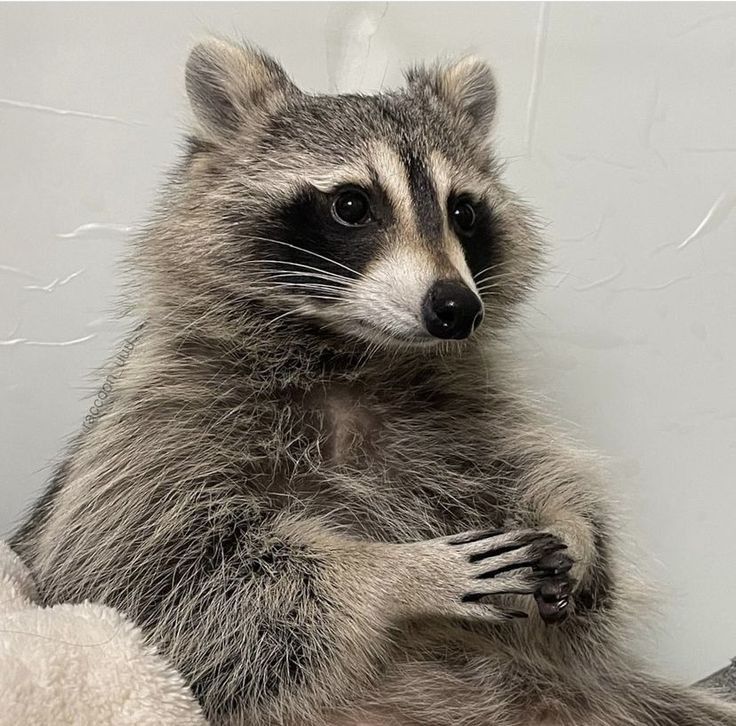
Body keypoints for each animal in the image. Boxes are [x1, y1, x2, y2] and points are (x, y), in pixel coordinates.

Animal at [11, 38, 736, 726]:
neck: (358, 355)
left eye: (463, 212)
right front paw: (392, 573)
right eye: (352, 205)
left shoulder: (471, 407)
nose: (456, 308)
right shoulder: (157, 427)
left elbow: (541, 470)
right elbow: (156, 579)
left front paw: (575, 531)